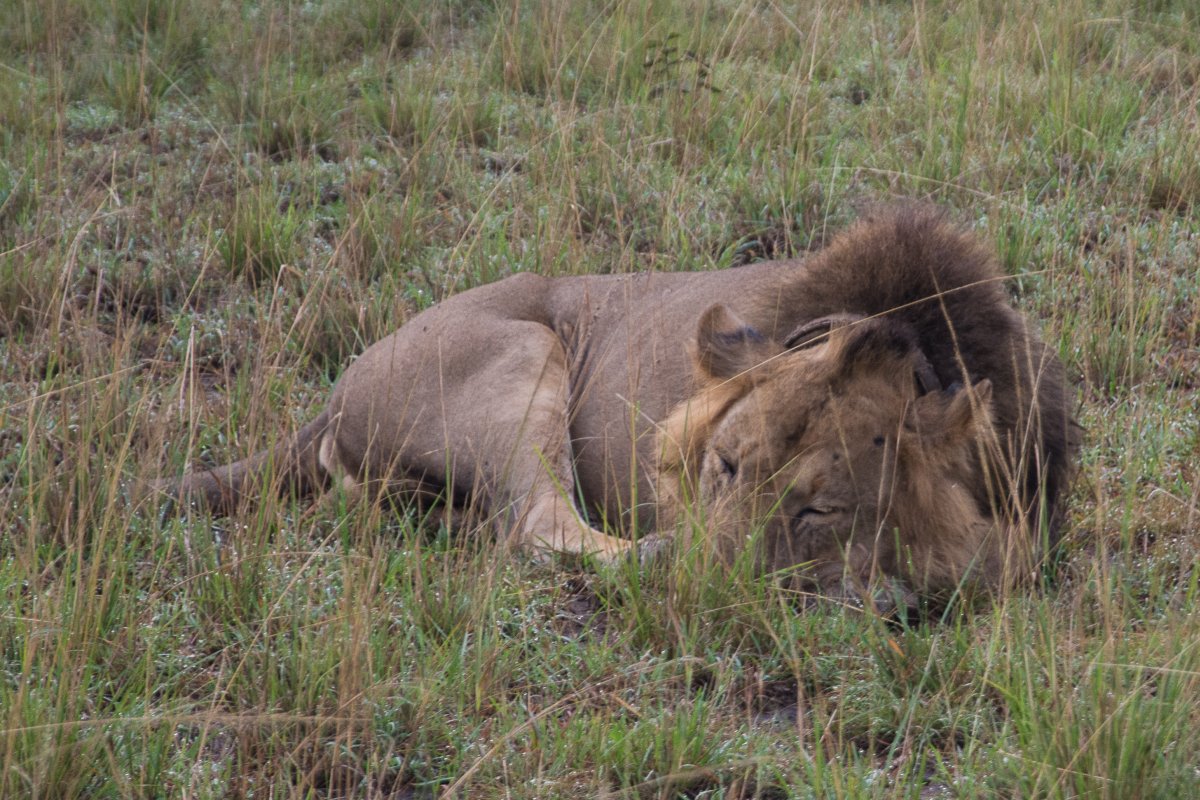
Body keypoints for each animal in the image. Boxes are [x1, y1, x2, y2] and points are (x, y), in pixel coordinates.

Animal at [159, 206, 1080, 599]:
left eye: (820, 509)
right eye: (724, 465)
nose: (704, 582)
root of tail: (333, 391)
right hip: (526, 354)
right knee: (539, 525)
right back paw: (647, 553)